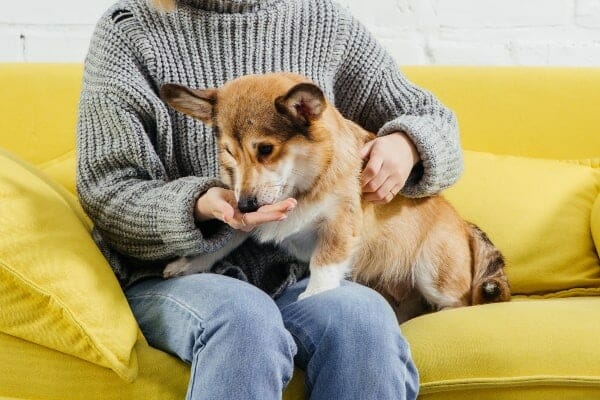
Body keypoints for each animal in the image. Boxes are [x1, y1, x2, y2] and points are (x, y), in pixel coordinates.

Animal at [161, 72, 510, 322]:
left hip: (433, 273)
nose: (245, 206)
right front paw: (188, 265)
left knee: (462, 303)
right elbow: (221, 243)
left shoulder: (340, 224)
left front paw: (313, 295)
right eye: (230, 153)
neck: (302, 184)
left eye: (266, 149)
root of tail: (465, 226)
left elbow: (324, 264)